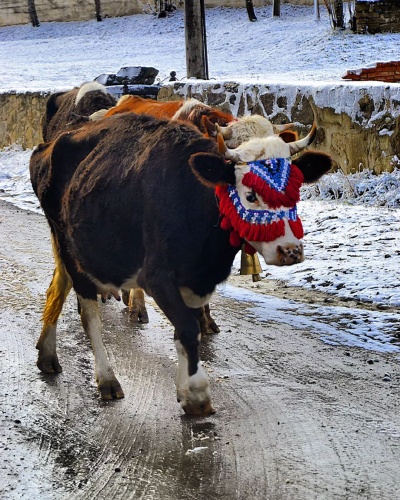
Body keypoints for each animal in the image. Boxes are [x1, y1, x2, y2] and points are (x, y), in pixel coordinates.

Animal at [29, 111, 332, 416]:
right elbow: (187, 327)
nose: (290, 251)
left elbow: (187, 329)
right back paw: (106, 379)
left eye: (294, 190)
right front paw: (197, 393)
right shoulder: (157, 277)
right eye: (250, 195)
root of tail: (51, 143)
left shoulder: (197, 281)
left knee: (58, 285)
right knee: (89, 316)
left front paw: (185, 388)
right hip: (69, 249)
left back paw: (47, 353)